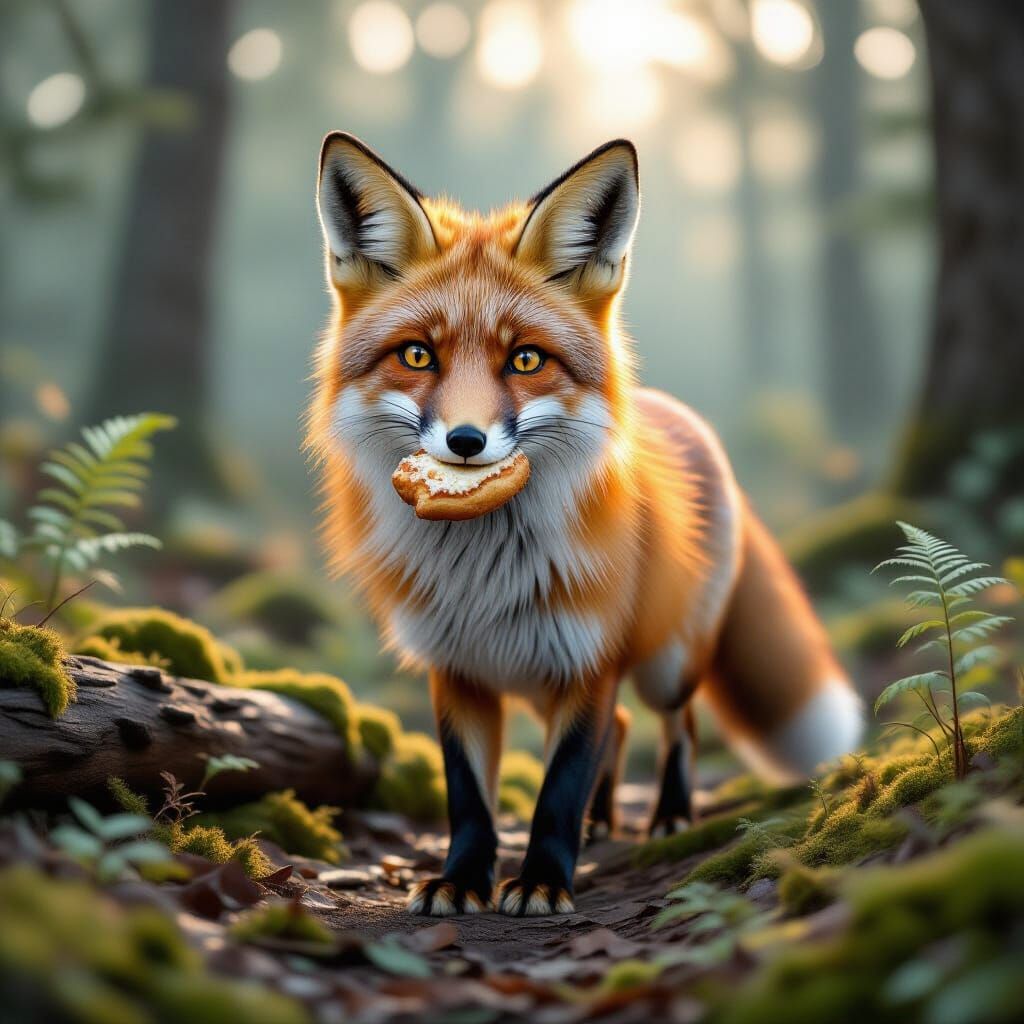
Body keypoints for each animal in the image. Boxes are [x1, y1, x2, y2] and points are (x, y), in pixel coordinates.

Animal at [307, 132, 864, 918]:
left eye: (525, 359)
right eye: (418, 354)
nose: (466, 442)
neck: (482, 574)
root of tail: (677, 415)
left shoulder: (588, 659)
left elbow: (560, 788)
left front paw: (542, 879)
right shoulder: (456, 670)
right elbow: (469, 797)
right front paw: (462, 879)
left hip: (665, 663)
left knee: (676, 724)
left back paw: (668, 816)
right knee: (624, 730)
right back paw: (606, 821)